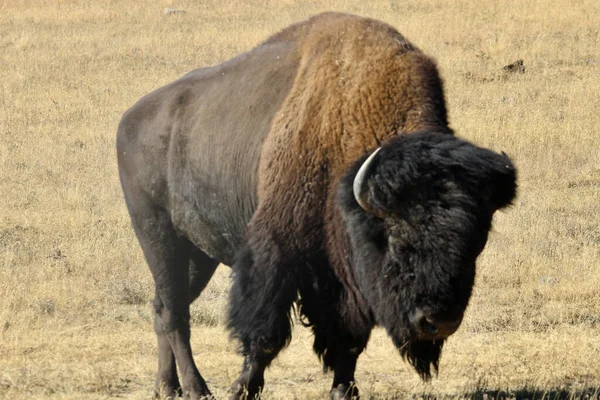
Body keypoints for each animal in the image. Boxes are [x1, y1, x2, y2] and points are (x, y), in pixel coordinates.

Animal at [116, 11, 516, 400]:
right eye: (399, 243)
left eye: (476, 245)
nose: (439, 321)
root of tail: (130, 119)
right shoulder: (276, 253)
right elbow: (265, 333)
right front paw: (242, 388)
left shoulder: (344, 278)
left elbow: (348, 341)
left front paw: (344, 389)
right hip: (157, 236)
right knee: (175, 314)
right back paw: (196, 389)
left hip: (198, 254)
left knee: (163, 308)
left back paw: (167, 387)